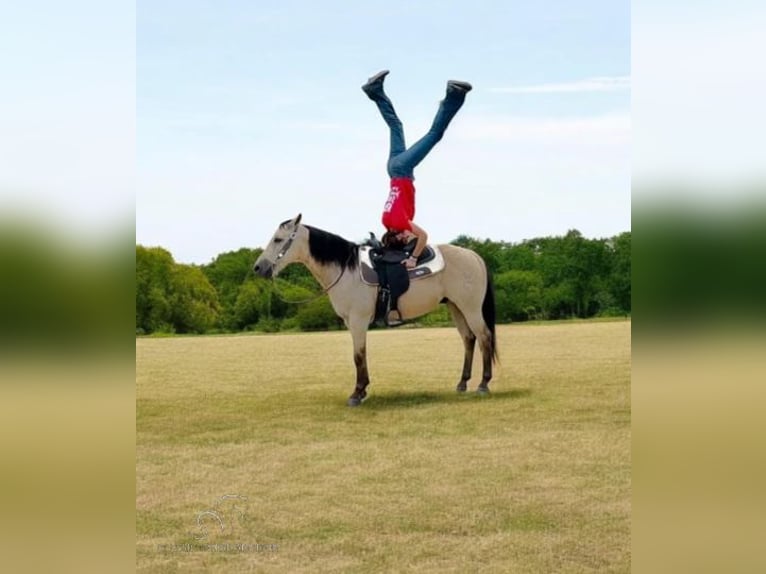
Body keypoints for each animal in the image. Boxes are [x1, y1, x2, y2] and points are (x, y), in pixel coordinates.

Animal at [255, 214, 500, 408]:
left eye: (278, 239)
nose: (258, 268)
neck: (347, 270)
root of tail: (474, 256)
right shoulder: (351, 322)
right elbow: (361, 355)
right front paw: (362, 391)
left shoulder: (358, 320)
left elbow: (358, 355)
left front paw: (357, 393)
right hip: (456, 307)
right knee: (469, 339)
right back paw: (462, 383)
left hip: (470, 307)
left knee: (484, 337)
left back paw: (483, 384)